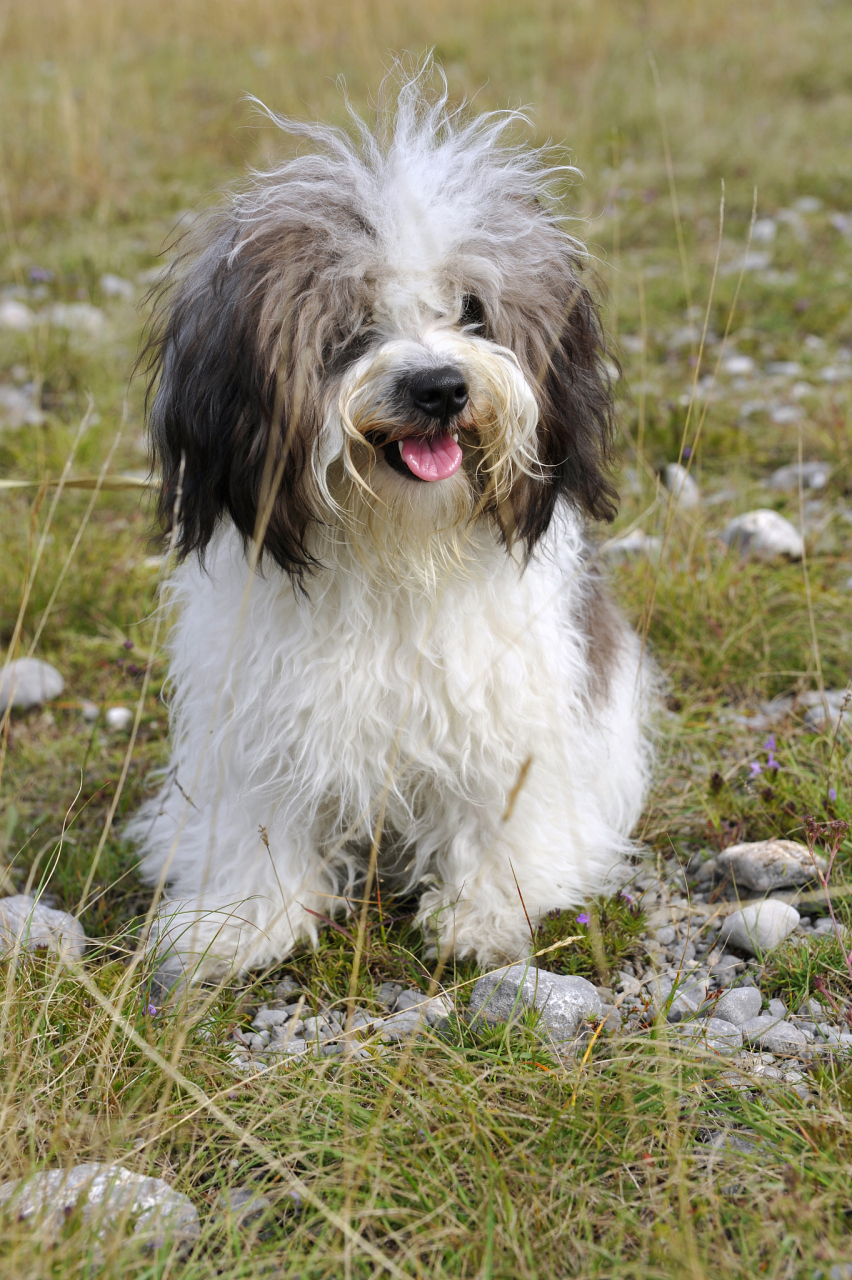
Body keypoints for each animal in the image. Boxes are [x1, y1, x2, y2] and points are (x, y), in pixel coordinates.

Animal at [129, 60, 649, 988]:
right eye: (349, 324)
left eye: (473, 308)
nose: (439, 386)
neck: (398, 550)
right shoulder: (259, 714)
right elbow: (262, 819)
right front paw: (238, 921)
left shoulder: (504, 703)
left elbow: (495, 812)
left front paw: (488, 909)